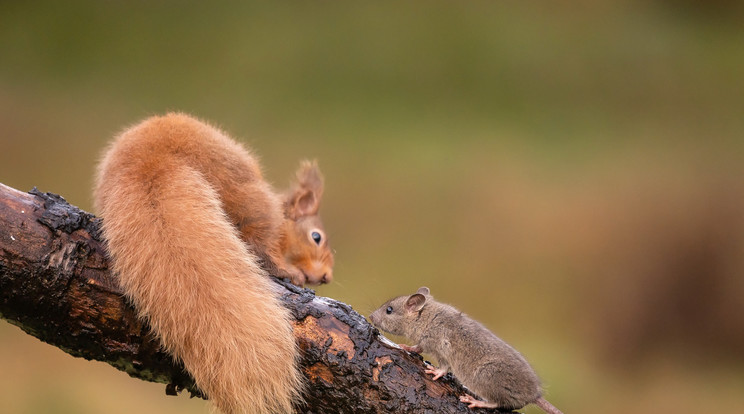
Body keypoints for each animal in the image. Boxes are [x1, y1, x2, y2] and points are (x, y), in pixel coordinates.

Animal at [372, 288, 564, 414]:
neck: (424, 315)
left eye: (389, 310)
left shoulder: (437, 346)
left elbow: (440, 365)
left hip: (486, 376)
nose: (371, 317)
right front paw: (405, 347)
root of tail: (534, 395)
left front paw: (433, 370)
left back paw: (476, 401)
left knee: (496, 403)